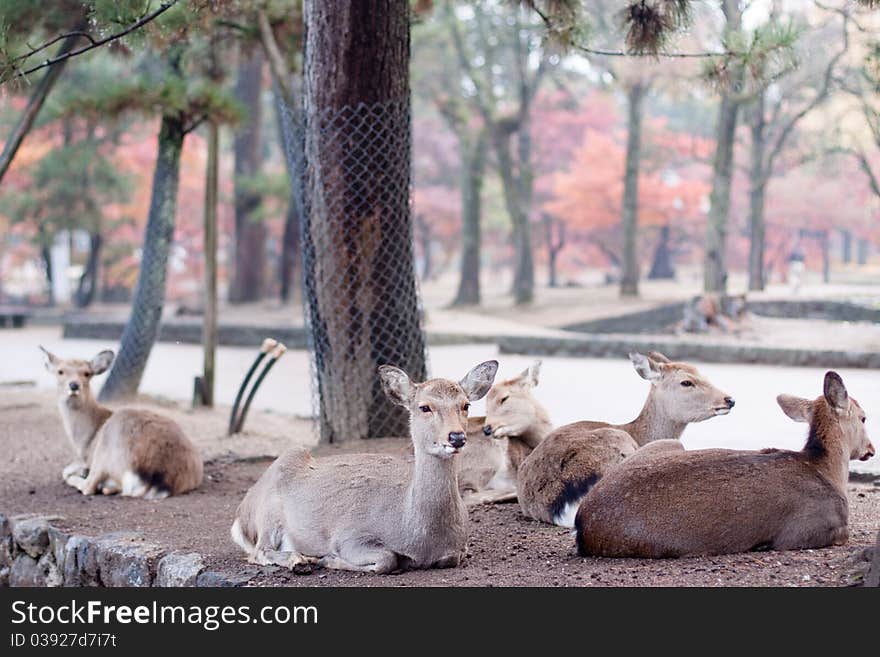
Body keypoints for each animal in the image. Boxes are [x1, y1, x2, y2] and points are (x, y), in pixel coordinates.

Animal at [40, 348, 204, 498]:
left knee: (89, 486)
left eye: (87, 373)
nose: (74, 385)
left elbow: (66, 471)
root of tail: (160, 481)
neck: (83, 441)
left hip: (106, 450)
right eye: (60, 371)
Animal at [230, 358, 498, 576]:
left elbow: (452, 557)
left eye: (465, 405)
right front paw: (328, 559)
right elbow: (386, 559)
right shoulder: (350, 535)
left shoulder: (458, 549)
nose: (457, 437)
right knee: (258, 551)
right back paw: (301, 561)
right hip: (267, 511)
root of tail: (241, 518)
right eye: (424, 407)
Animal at [576, 372, 872, 556]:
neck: (827, 470)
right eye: (864, 417)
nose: (871, 449)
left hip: (667, 444)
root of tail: (582, 523)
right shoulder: (808, 530)